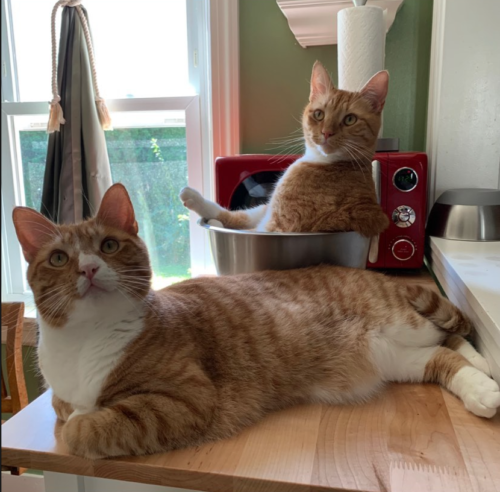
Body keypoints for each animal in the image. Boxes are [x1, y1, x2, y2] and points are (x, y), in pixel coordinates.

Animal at [13, 183, 498, 460]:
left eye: (109, 246)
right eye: (59, 258)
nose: (88, 269)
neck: (83, 342)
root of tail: (367, 273)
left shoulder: (185, 400)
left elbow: (86, 428)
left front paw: (82, 423)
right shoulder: (63, 392)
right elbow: (62, 407)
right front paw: (74, 409)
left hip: (404, 323)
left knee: (453, 332)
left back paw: (487, 369)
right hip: (397, 358)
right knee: (443, 355)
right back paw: (482, 388)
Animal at [180, 60, 390, 237]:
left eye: (350, 119)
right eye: (319, 114)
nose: (326, 132)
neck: (329, 163)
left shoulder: (275, 226)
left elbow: (234, 219)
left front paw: (212, 219)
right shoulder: (266, 210)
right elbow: (236, 214)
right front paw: (197, 200)